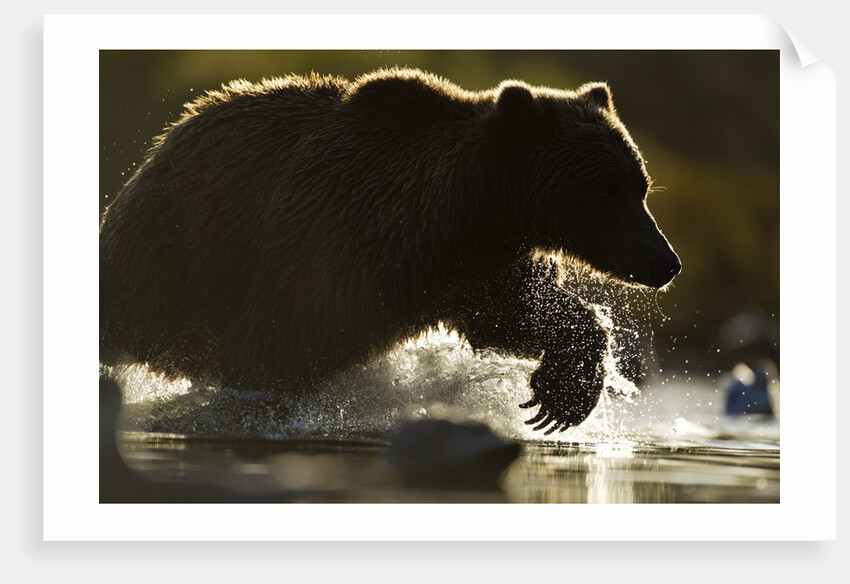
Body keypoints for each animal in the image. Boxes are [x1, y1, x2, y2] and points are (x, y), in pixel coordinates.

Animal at [99, 68, 681, 434]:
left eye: (641, 185)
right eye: (607, 189)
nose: (666, 262)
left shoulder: (478, 268)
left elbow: (513, 316)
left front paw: (561, 394)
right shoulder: (331, 246)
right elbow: (276, 344)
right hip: (167, 261)